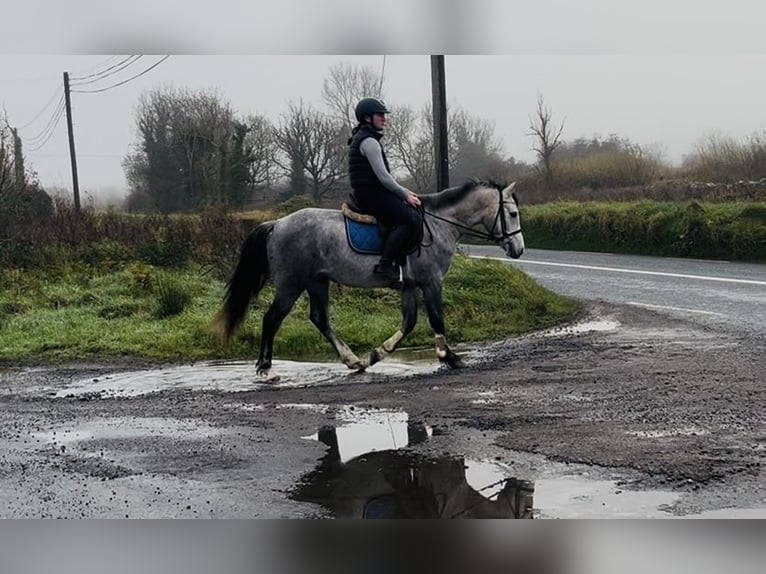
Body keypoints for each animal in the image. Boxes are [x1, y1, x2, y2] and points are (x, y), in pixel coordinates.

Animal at [214, 179, 524, 374]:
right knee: (272, 318)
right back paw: (265, 367)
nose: (519, 249)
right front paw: (450, 358)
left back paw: (353, 361)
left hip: (317, 282)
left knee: (319, 319)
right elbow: (436, 318)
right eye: (512, 213)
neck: (438, 225)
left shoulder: (409, 286)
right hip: (291, 285)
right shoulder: (431, 282)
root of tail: (277, 223)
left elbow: (409, 322)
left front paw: (377, 354)